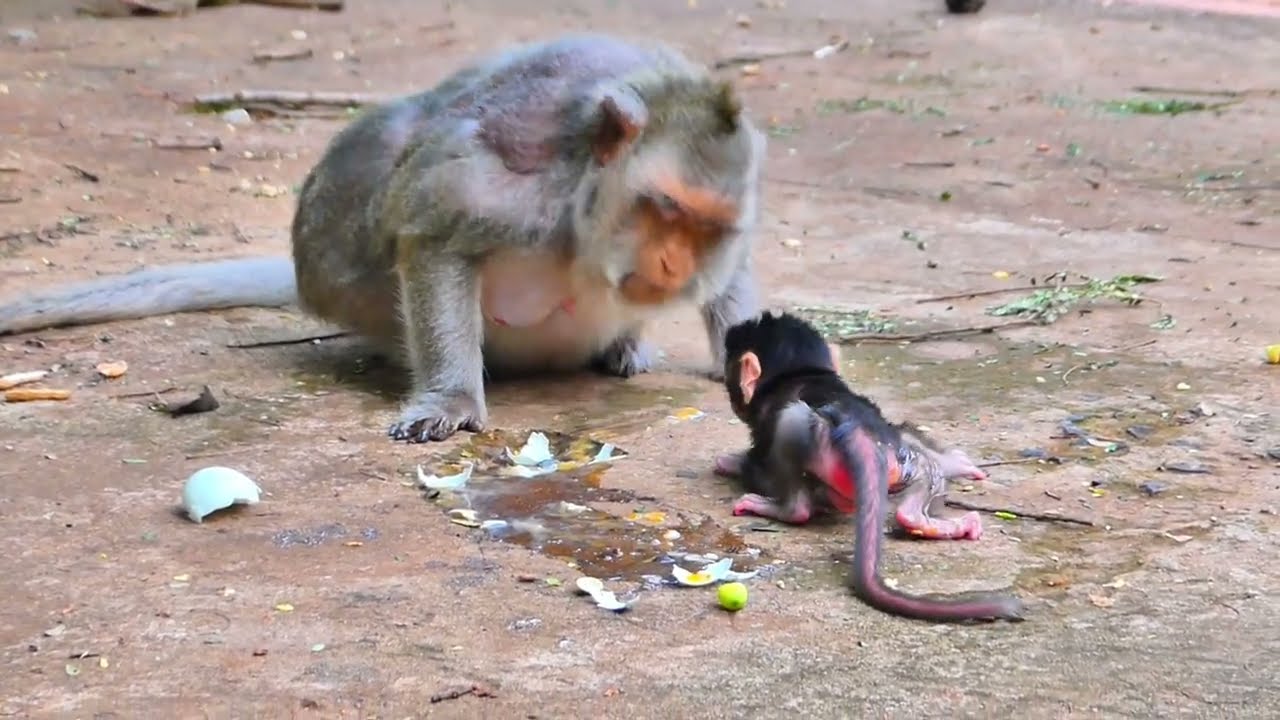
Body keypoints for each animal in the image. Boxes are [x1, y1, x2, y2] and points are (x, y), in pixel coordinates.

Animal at [0, 34, 766, 444]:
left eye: (705, 228)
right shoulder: (518, 190)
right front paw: (451, 401)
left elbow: (733, 281)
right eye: (662, 208)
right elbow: (433, 229)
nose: (672, 263)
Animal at [714, 311, 1025, 623]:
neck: (803, 372)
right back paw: (934, 517)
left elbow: (757, 465)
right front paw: (959, 463)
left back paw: (785, 508)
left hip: (813, 439)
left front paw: (731, 463)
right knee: (920, 463)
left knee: (791, 424)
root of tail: (857, 429)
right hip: (903, 462)